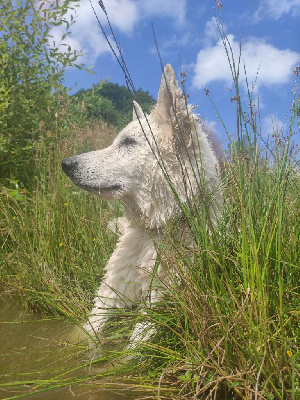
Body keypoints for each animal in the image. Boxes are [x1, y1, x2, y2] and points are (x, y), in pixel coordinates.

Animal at [61, 64, 220, 342]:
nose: (65, 164)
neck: (158, 229)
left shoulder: (159, 307)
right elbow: (84, 334)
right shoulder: (108, 296)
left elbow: (132, 346)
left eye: (128, 142)